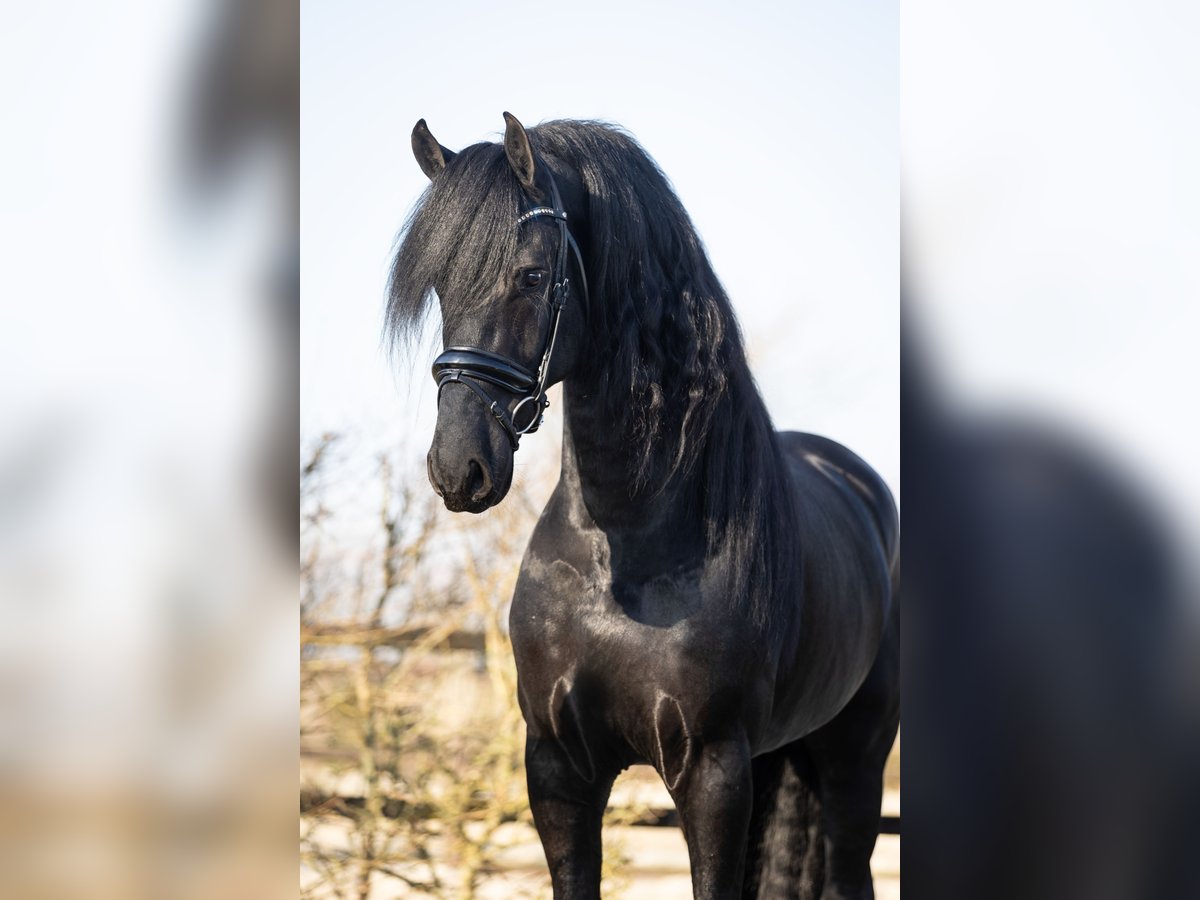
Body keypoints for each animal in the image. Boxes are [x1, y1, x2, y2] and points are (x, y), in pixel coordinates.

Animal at [388, 116, 897, 897]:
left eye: (530, 275)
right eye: (443, 283)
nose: (458, 467)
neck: (626, 548)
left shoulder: (713, 771)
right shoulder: (558, 768)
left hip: (855, 758)